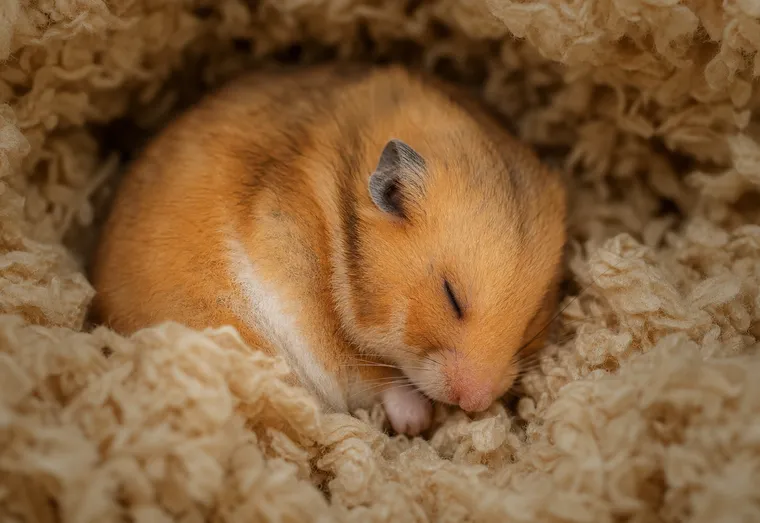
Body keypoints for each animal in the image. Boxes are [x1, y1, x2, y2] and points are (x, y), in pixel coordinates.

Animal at [90, 63, 567, 436]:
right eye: (451, 296)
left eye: (532, 319)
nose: (476, 403)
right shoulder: (327, 341)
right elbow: (378, 375)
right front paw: (415, 422)